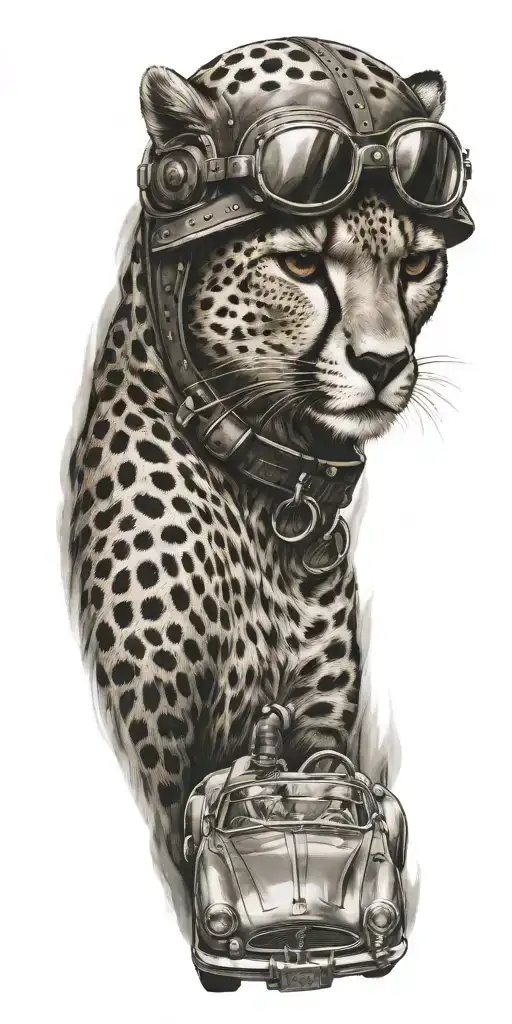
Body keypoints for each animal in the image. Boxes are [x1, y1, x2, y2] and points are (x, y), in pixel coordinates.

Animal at [64, 38, 458, 936]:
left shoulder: (320, 729)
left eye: (418, 263)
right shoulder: (157, 755)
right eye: (302, 262)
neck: (268, 492)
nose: (383, 363)